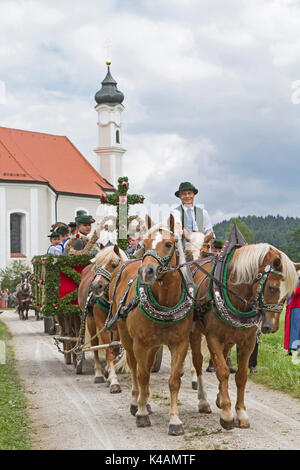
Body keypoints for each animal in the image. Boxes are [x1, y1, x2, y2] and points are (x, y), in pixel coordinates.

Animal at [108, 215, 195, 436]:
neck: (166, 302)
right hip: (126, 338)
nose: (146, 271)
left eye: (168, 244)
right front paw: (141, 413)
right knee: (134, 368)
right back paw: (136, 402)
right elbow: (142, 375)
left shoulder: (180, 344)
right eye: (144, 244)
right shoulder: (140, 343)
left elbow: (174, 381)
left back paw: (145, 402)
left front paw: (175, 420)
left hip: (154, 345)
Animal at [188, 226, 298, 432]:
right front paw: (226, 414)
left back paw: (218, 397)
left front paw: (240, 413)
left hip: (229, 338)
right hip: (196, 332)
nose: (271, 327)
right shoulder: (213, 337)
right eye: (272, 288)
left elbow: (241, 375)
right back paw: (204, 401)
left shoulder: (248, 341)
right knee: (197, 362)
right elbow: (222, 371)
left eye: (288, 294)